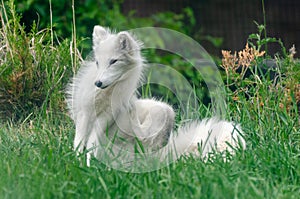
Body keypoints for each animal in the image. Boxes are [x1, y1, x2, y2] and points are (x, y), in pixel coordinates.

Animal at [66, 25, 246, 167]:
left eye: (113, 61)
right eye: (98, 63)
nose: (98, 83)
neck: (106, 95)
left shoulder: (106, 117)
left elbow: (91, 144)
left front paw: (87, 164)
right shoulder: (84, 113)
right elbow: (79, 142)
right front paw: (78, 162)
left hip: (165, 111)